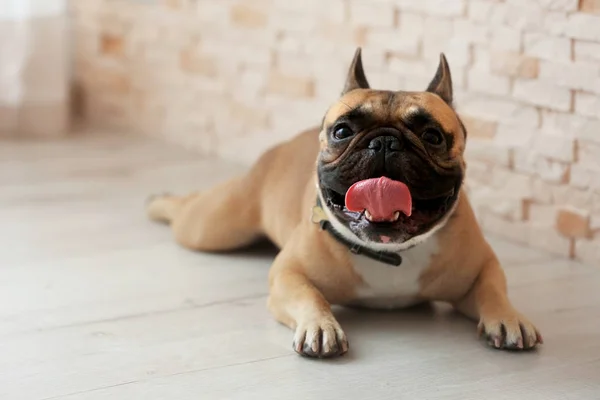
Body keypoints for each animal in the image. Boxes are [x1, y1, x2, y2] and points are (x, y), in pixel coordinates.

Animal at [148, 48, 540, 358]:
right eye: (342, 131)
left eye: (432, 136)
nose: (385, 142)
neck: (391, 253)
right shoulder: (287, 274)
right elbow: (309, 295)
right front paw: (320, 327)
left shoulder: (480, 268)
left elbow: (493, 288)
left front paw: (509, 318)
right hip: (213, 227)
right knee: (189, 210)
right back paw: (158, 202)